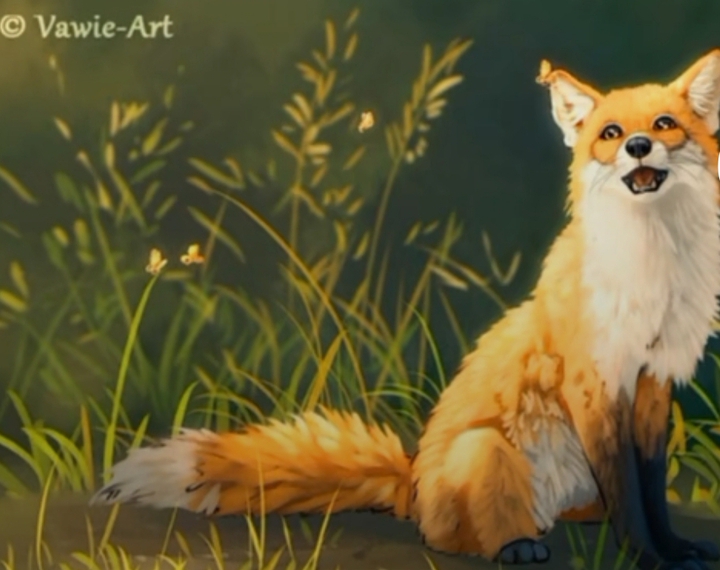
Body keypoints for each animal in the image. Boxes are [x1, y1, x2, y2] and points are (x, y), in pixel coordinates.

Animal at [92, 50, 720, 570]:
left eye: (664, 125)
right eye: (611, 134)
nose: (637, 147)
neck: (652, 269)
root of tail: (411, 485)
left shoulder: (653, 384)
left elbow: (651, 493)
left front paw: (675, 549)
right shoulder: (595, 382)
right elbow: (631, 501)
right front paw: (648, 558)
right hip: (485, 449)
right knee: (457, 538)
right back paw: (516, 545)